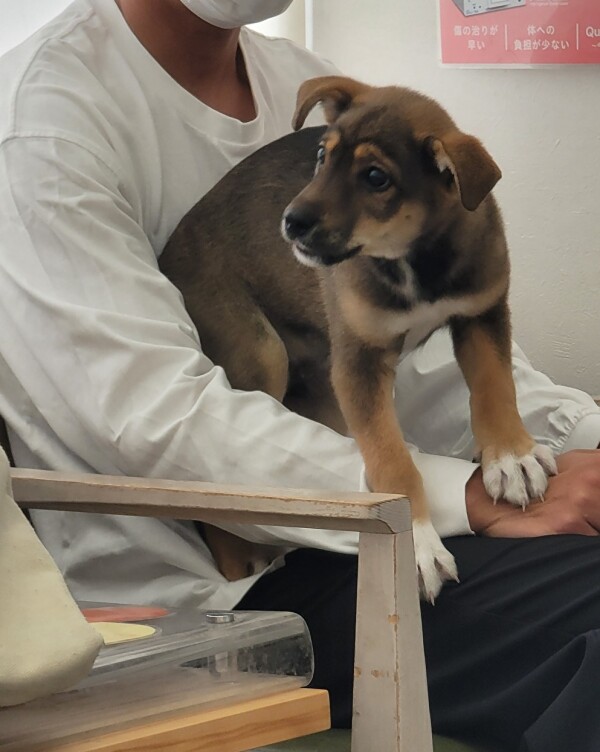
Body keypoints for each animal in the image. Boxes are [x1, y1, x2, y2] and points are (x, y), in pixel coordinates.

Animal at [159, 76, 557, 601]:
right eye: (321, 157)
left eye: (375, 178)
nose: (290, 222)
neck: (413, 260)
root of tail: (166, 254)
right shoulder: (358, 361)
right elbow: (392, 461)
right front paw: (414, 547)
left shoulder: (481, 313)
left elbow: (496, 389)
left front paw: (512, 457)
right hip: (260, 352)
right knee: (213, 500)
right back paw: (239, 564)